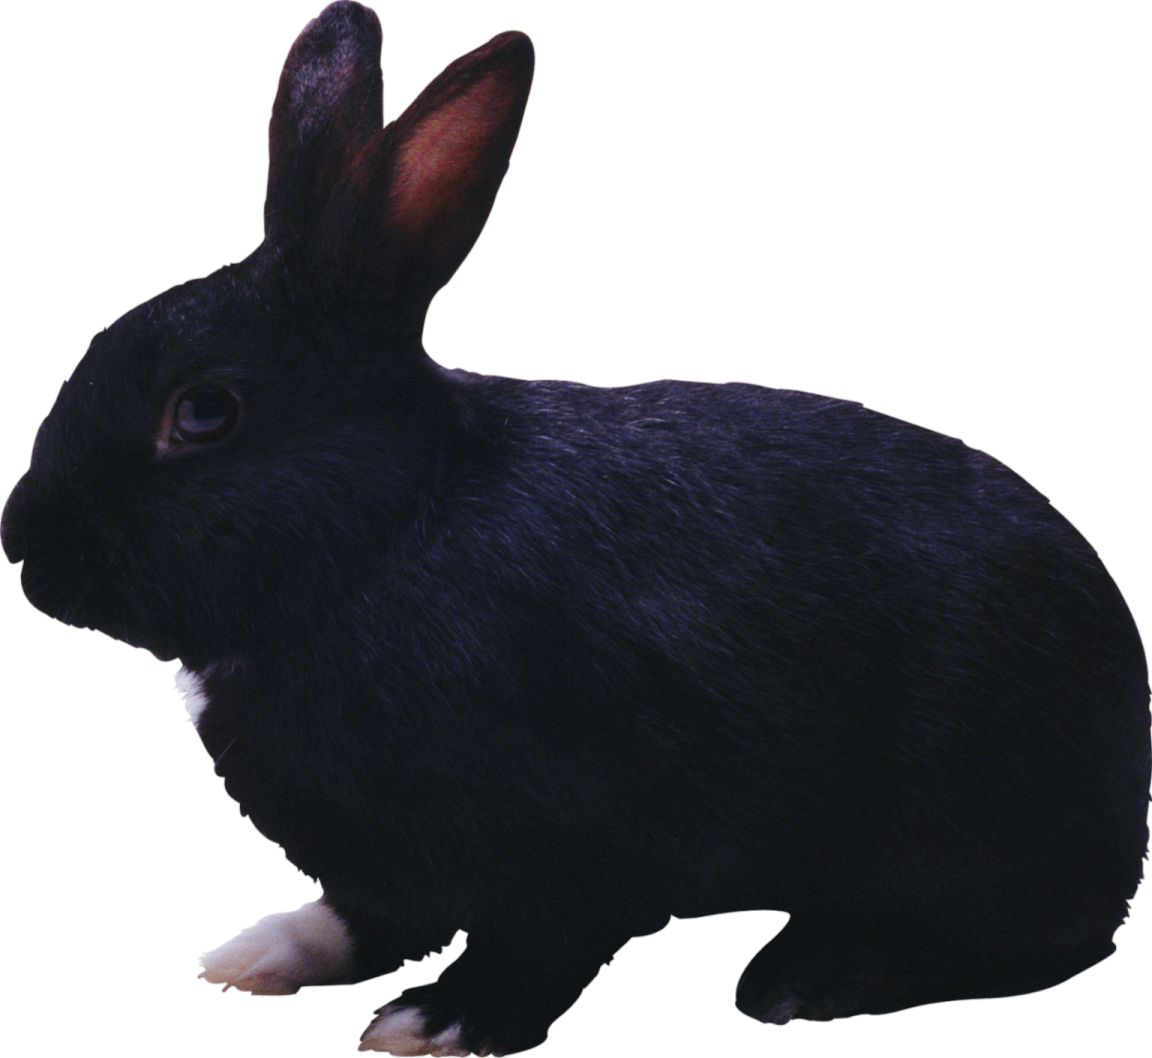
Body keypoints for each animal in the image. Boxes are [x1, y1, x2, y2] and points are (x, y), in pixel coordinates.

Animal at [2, 1, 1149, 1055]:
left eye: (204, 414)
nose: (25, 547)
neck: (385, 541)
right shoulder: (377, 862)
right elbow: (368, 918)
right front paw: (262, 954)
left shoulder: (592, 825)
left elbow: (544, 942)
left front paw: (439, 1022)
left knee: (1040, 939)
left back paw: (821, 974)